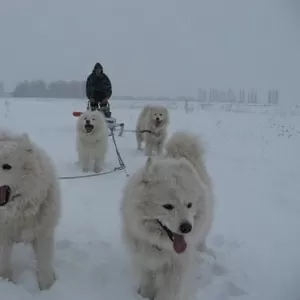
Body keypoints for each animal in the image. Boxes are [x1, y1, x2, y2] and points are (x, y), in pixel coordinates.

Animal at [0, 130, 61, 290]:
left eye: (6, 166)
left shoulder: (43, 234)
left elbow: (44, 265)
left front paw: (47, 288)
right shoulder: (3, 236)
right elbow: (3, 265)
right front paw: (6, 283)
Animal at [120, 131, 214, 300]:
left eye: (189, 205)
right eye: (168, 206)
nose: (187, 227)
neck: (161, 245)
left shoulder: (177, 266)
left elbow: (169, 292)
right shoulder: (145, 261)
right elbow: (147, 284)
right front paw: (144, 295)